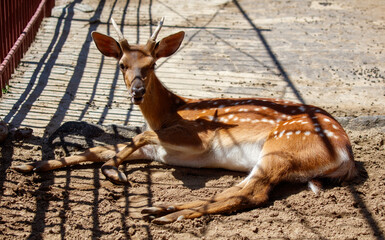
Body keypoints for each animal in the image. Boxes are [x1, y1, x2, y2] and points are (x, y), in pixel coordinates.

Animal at [14, 17, 356, 224]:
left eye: (151, 65)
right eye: (122, 64)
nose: (137, 91)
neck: (170, 112)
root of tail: (346, 152)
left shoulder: (197, 138)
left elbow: (134, 138)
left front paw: (114, 172)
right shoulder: (162, 151)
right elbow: (102, 148)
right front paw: (29, 165)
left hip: (282, 148)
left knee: (250, 193)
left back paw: (164, 215)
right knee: (236, 190)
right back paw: (158, 208)